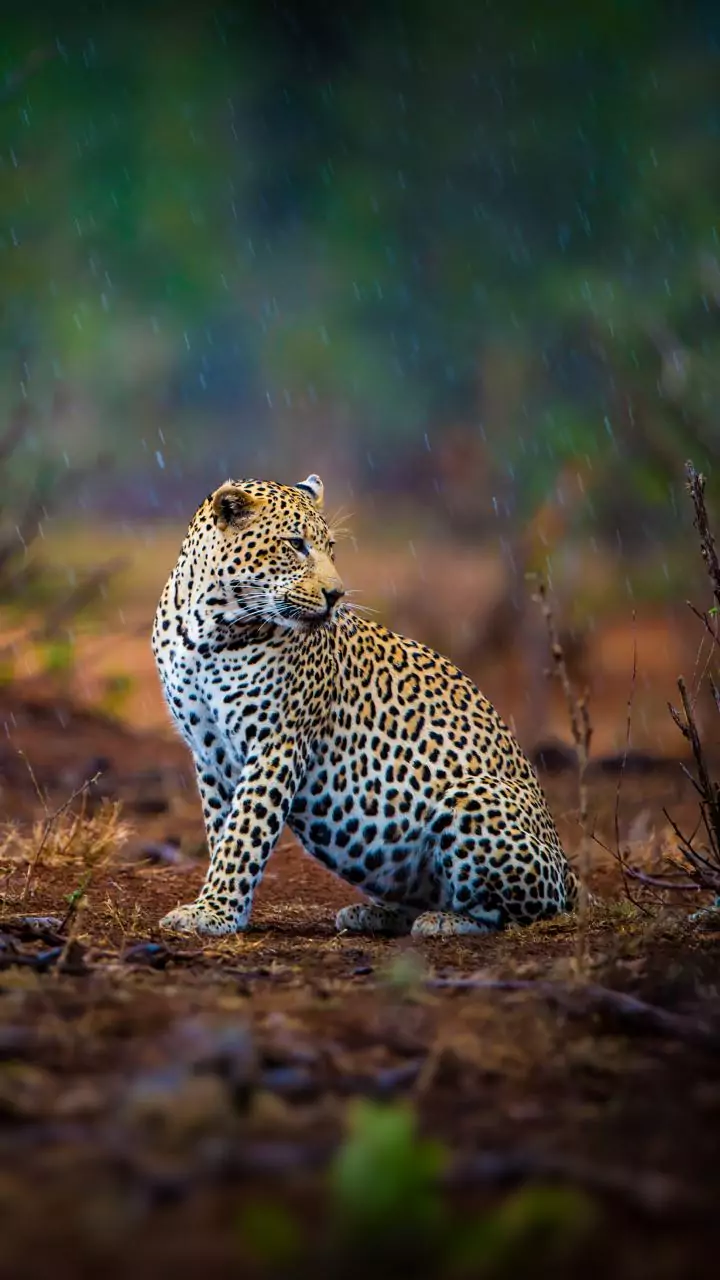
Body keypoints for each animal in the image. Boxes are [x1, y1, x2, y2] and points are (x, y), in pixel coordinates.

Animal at [152, 472, 579, 938]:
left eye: (330, 548)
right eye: (296, 544)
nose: (336, 594)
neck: (209, 628)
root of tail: (570, 874)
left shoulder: (277, 744)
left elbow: (245, 833)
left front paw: (213, 911)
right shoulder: (209, 752)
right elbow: (223, 831)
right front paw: (226, 909)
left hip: (475, 798)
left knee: (517, 912)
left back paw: (445, 920)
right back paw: (375, 914)